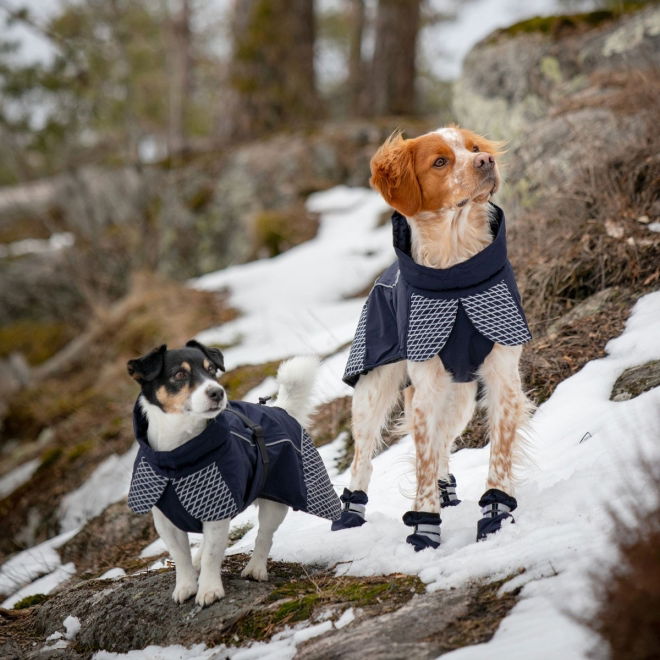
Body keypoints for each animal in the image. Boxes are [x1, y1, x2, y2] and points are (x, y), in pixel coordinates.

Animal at [127, 342, 340, 604]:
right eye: (179, 375)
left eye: (211, 370)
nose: (217, 392)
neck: (177, 458)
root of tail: (280, 409)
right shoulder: (167, 521)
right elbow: (180, 555)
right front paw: (185, 586)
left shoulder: (216, 508)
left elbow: (212, 555)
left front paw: (209, 589)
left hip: (275, 500)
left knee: (264, 535)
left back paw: (255, 568)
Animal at [338, 126, 532, 548]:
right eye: (440, 161)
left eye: (474, 148)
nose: (485, 162)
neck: (456, 276)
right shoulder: (426, 384)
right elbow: (422, 462)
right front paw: (425, 527)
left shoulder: (502, 376)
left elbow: (498, 455)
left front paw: (496, 513)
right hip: (373, 391)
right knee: (363, 458)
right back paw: (350, 514)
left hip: (460, 397)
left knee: (443, 443)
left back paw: (448, 491)